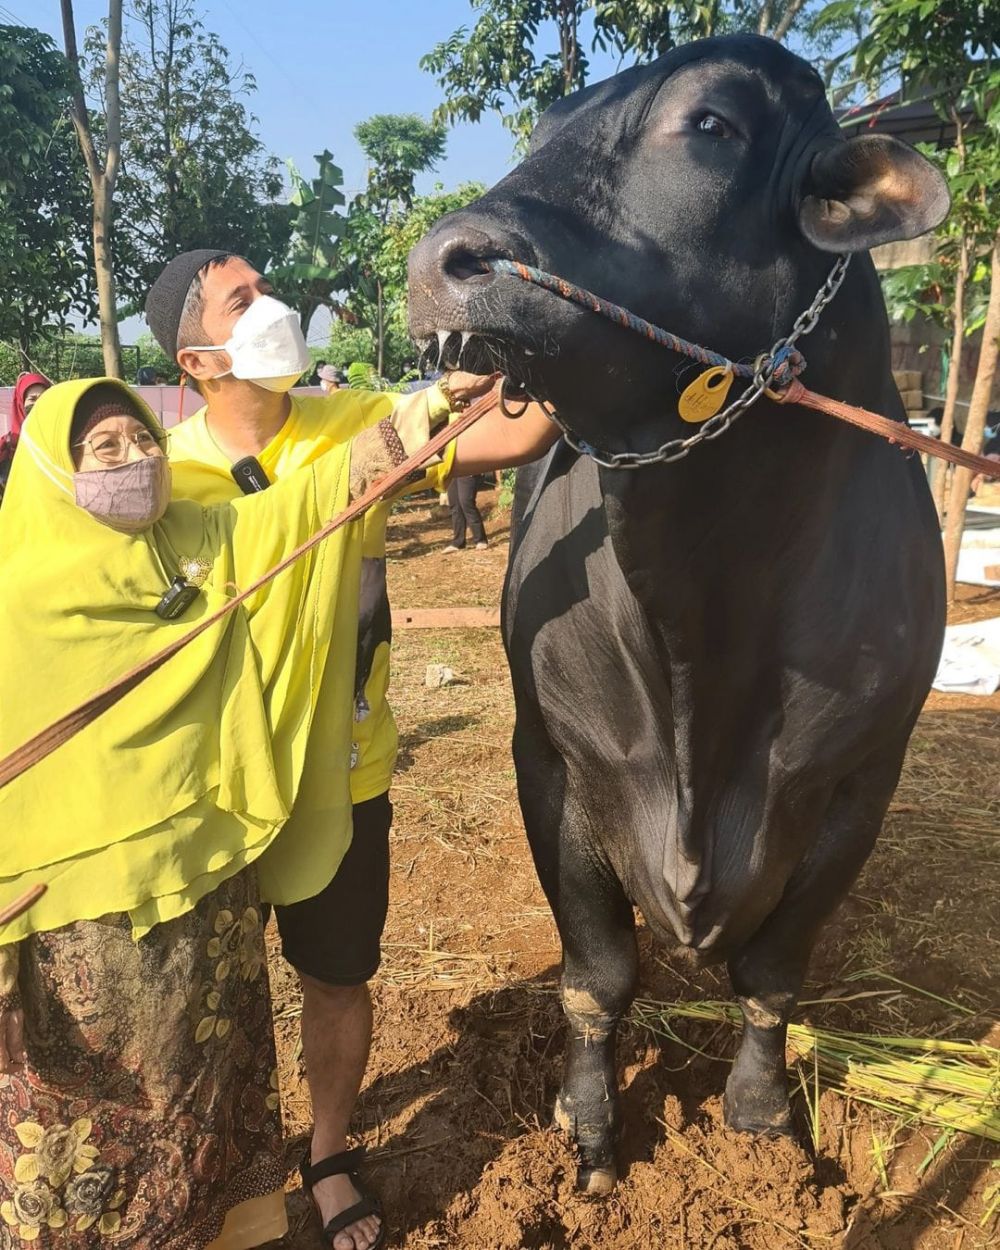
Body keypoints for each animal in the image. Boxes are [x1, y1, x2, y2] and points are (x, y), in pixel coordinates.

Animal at [405, 36, 945, 1190]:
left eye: (711, 125)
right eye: (545, 125)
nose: (442, 263)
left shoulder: (858, 778)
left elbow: (774, 969)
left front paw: (762, 1114)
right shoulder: (551, 758)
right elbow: (597, 971)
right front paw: (590, 1126)